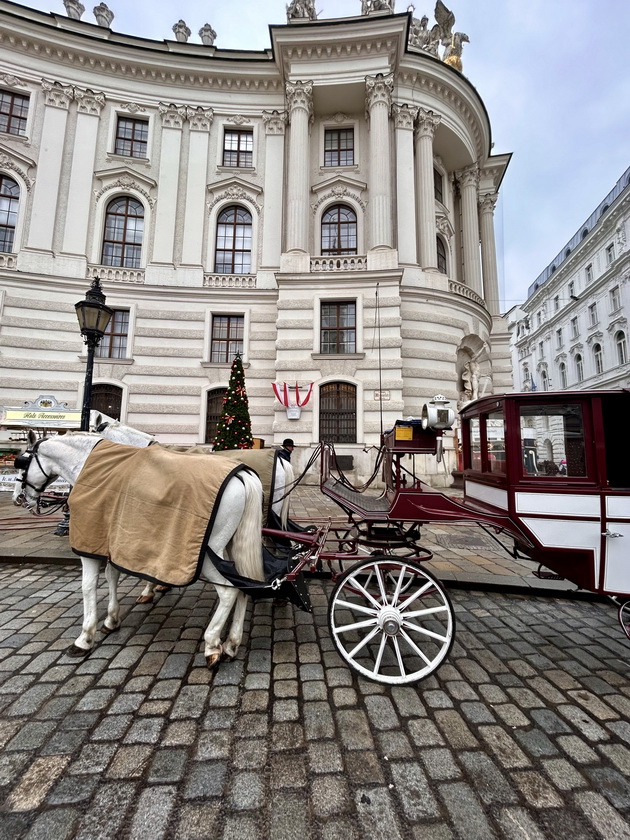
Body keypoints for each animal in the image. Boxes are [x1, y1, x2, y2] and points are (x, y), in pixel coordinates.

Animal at [12, 430, 264, 668]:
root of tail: (242, 474)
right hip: (231, 547)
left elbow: (88, 587)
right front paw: (111, 619)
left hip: (207, 556)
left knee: (229, 591)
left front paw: (84, 638)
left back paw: (212, 643)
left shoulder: (91, 543)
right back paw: (231, 643)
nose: (18, 498)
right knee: (244, 587)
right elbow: (112, 575)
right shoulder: (114, 541)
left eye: (22, 462)